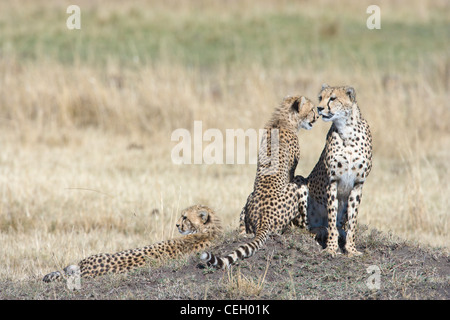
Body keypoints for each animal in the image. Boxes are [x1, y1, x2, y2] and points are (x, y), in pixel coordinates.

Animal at [200, 95, 316, 268]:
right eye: (312, 109)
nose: (317, 117)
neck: (283, 120)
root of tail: (263, 219)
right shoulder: (292, 172)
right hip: (298, 187)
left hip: (249, 199)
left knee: (244, 229)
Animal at [306, 83, 372, 258]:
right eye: (320, 97)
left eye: (333, 98)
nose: (319, 108)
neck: (347, 131)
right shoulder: (332, 181)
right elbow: (331, 215)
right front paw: (331, 248)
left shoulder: (358, 184)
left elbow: (352, 221)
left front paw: (351, 249)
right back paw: (319, 230)